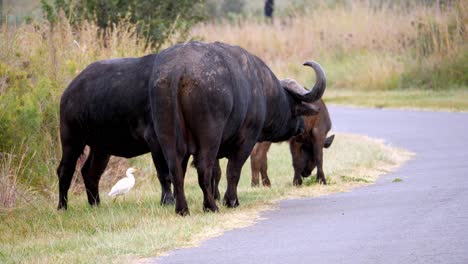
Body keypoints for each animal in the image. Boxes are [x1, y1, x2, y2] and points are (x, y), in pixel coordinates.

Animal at [57, 54, 176, 210]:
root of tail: (67, 93)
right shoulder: (155, 140)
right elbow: (165, 173)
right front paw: (168, 201)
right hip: (72, 141)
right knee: (64, 171)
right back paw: (62, 207)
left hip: (101, 147)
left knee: (90, 172)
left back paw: (95, 204)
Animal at [150, 41, 326, 214]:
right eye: (295, 106)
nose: (301, 126)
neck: (261, 87)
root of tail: (177, 71)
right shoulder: (246, 140)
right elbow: (233, 170)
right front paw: (231, 201)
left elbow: (217, 172)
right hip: (210, 138)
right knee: (203, 169)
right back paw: (210, 206)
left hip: (168, 138)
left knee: (176, 171)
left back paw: (182, 209)